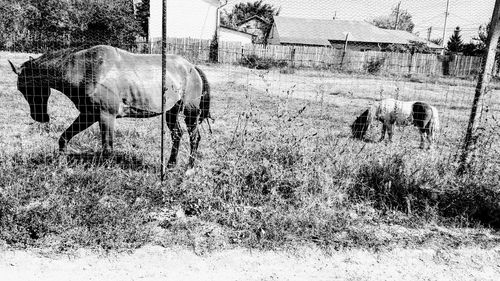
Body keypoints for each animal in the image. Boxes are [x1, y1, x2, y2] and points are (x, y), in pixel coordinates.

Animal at [8, 43, 211, 166]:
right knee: (177, 135)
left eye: (25, 88)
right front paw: (61, 162)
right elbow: (64, 137)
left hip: (190, 112)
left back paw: (189, 168)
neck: (87, 69)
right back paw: (170, 165)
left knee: (194, 137)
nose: (40, 117)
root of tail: (191, 67)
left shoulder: (106, 116)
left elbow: (107, 147)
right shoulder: (88, 115)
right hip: (171, 111)